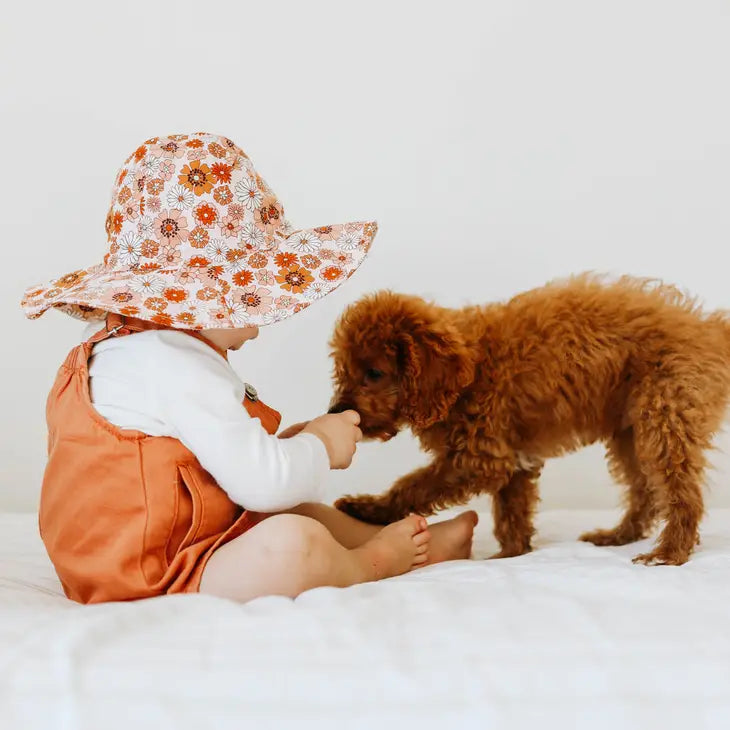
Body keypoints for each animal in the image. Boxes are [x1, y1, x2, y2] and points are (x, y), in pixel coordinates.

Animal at [328, 272, 728, 564]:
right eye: (344, 371)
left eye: (374, 373)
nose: (335, 412)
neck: (471, 370)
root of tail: (708, 329)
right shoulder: (512, 460)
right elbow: (511, 516)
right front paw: (511, 555)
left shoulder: (480, 459)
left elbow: (413, 486)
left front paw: (368, 508)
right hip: (629, 432)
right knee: (644, 491)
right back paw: (618, 536)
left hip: (666, 416)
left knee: (682, 494)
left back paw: (670, 553)